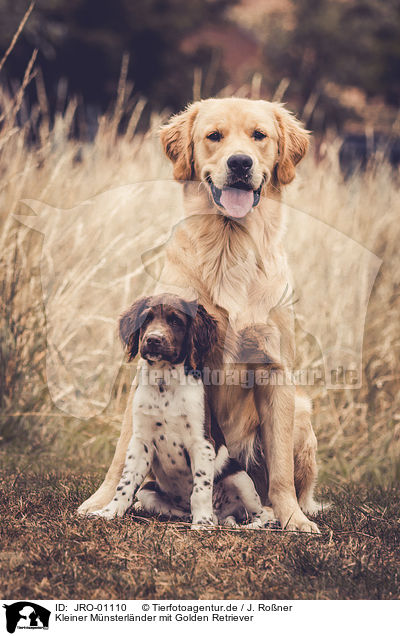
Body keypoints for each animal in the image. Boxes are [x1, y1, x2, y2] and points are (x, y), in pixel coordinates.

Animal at [90, 296, 272, 528]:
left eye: (175, 321)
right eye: (146, 319)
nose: (153, 339)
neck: (164, 384)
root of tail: (222, 514)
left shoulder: (202, 443)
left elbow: (201, 489)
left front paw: (202, 523)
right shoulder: (141, 442)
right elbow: (126, 483)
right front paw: (108, 512)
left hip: (240, 478)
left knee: (262, 514)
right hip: (148, 491)